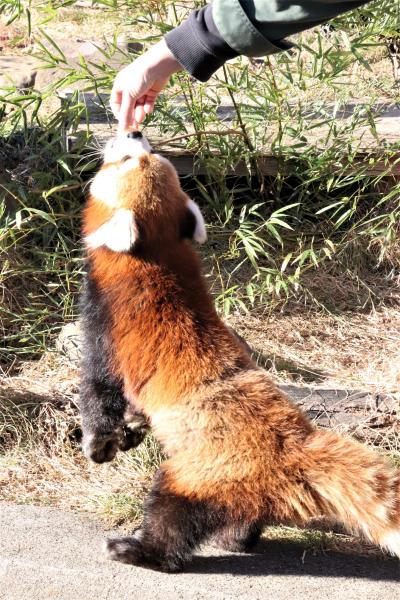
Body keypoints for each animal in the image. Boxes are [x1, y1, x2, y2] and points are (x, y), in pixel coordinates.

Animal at [79, 131, 400, 572]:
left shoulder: (107, 328)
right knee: (241, 517)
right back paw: (235, 538)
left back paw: (139, 550)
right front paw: (130, 432)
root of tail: (295, 451)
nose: (135, 133)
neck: (157, 257)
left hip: (208, 472)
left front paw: (99, 445)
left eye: (126, 159)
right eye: (141, 153)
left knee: (173, 511)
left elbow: (100, 392)